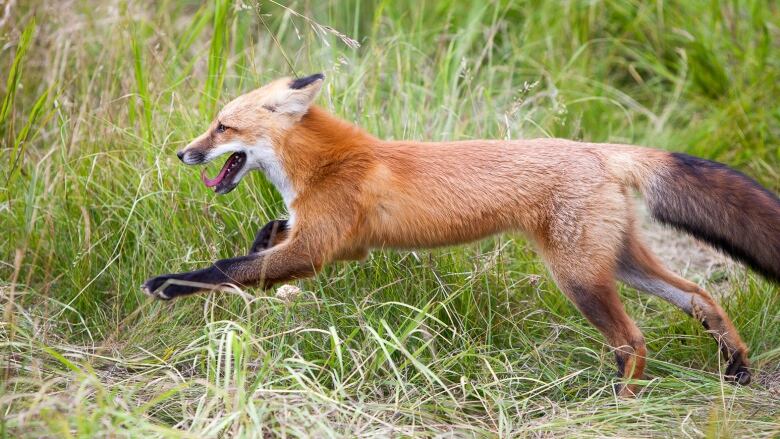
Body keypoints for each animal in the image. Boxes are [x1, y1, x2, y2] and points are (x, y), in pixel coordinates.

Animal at [142, 74, 780, 398]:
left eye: (222, 126)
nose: (182, 153)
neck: (325, 165)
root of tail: (598, 149)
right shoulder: (336, 240)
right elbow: (264, 239)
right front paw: (255, 242)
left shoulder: (318, 249)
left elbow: (227, 269)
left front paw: (169, 284)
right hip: (616, 261)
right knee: (700, 297)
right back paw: (736, 369)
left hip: (579, 277)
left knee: (633, 341)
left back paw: (619, 404)